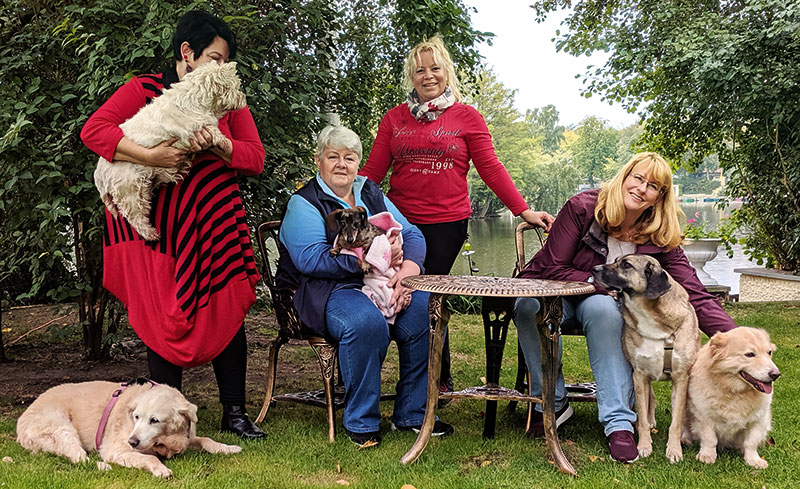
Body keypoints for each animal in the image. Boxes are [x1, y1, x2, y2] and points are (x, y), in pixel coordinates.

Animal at [16, 380, 241, 474]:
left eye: (154, 420)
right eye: (136, 417)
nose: (132, 441)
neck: (164, 441)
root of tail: (22, 418)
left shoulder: (184, 438)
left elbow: (206, 440)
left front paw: (228, 448)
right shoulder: (116, 450)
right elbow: (150, 458)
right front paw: (161, 469)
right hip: (62, 430)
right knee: (79, 458)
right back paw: (102, 466)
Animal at [592, 254, 700, 464]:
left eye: (626, 264)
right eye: (616, 260)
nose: (594, 269)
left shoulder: (681, 378)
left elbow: (675, 422)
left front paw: (674, 450)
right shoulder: (640, 376)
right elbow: (641, 417)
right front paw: (643, 446)